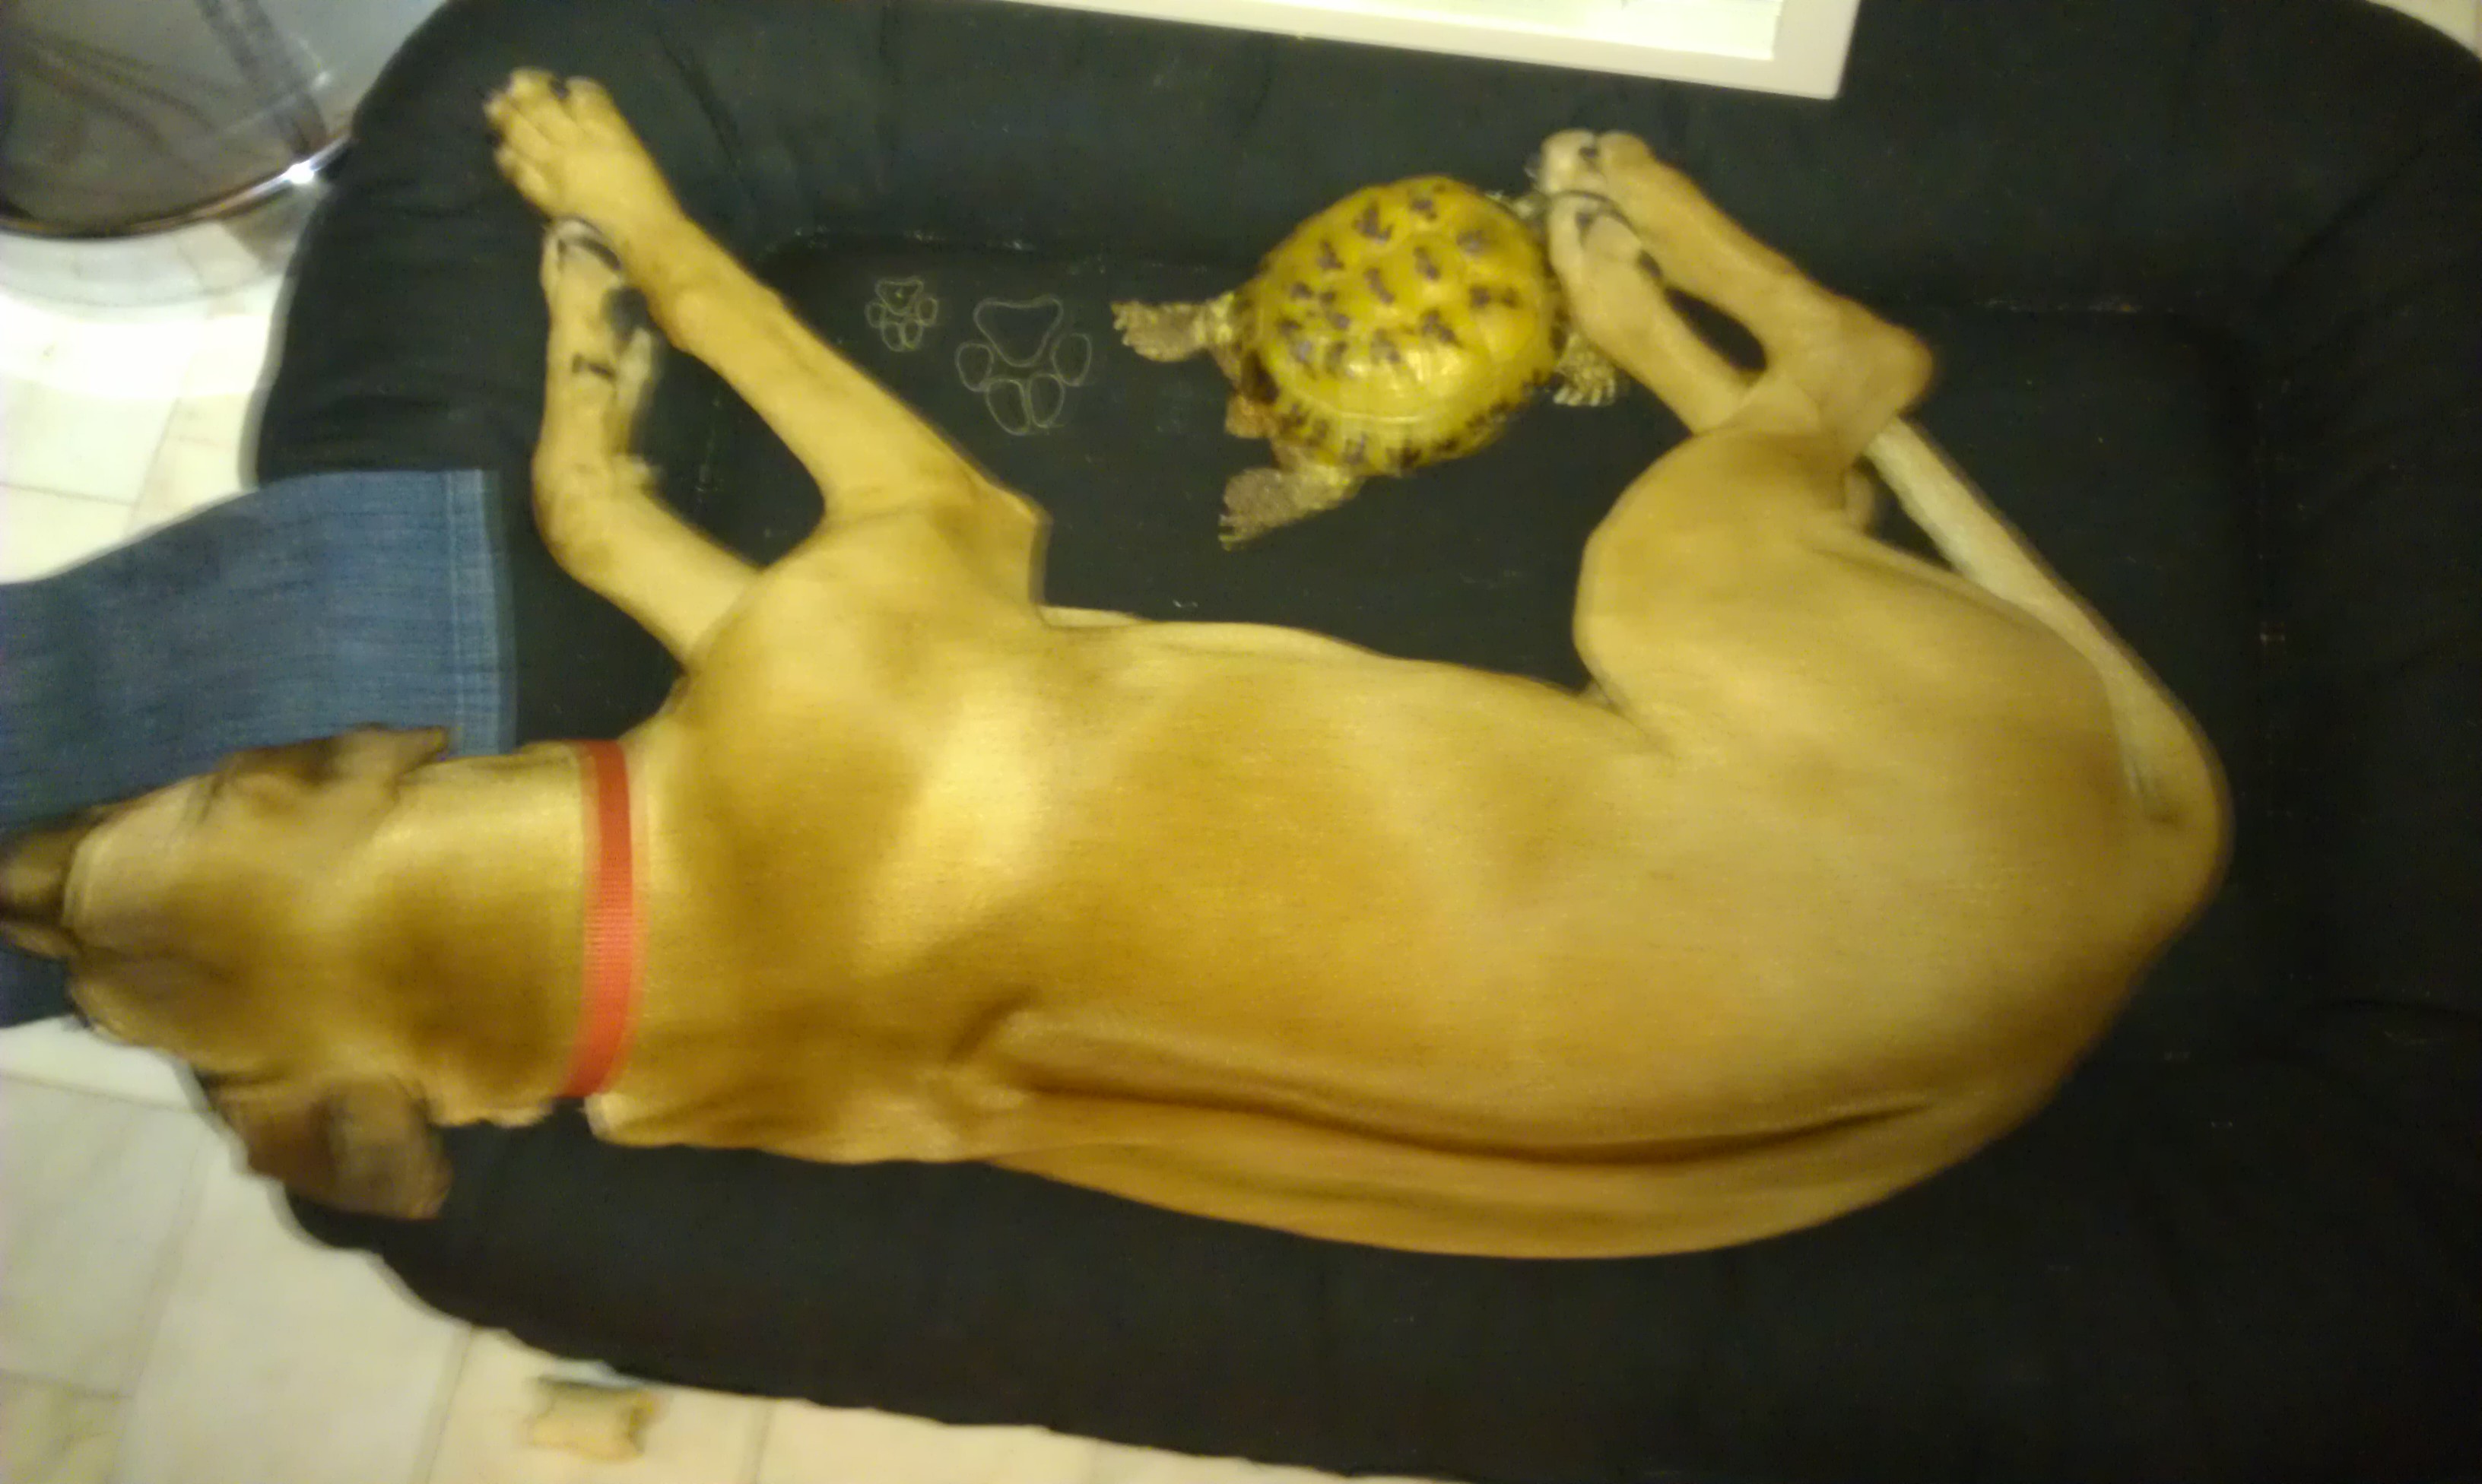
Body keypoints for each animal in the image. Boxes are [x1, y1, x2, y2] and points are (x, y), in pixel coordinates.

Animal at [0, 72, 2226, 1258]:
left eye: (155, 803)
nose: (28, 883)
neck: (624, 932)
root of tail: (2126, 919)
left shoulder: (894, 532)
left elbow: (625, 422)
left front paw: (597, 256)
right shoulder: (884, 551)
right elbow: (646, 417)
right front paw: (604, 289)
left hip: (1683, 569)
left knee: (1869, 378)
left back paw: (1617, 225)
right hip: (1682, 571)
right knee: (1858, 380)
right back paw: (1611, 232)